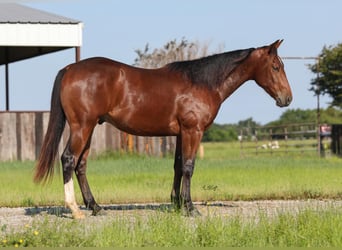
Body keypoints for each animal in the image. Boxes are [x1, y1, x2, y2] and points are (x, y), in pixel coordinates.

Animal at [34, 39, 292, 219]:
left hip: (89, 129)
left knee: (81, 166)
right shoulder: (193, 131)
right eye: (275, 67)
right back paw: (75, 210)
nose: (287, 98)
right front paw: (190, 208)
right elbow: (188, 167)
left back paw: (96, 207)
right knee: (68, 159)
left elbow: (177, 166)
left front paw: (177, 204)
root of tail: (70, 68)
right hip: (82, 127)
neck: (201, 83)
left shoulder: (180, 134)